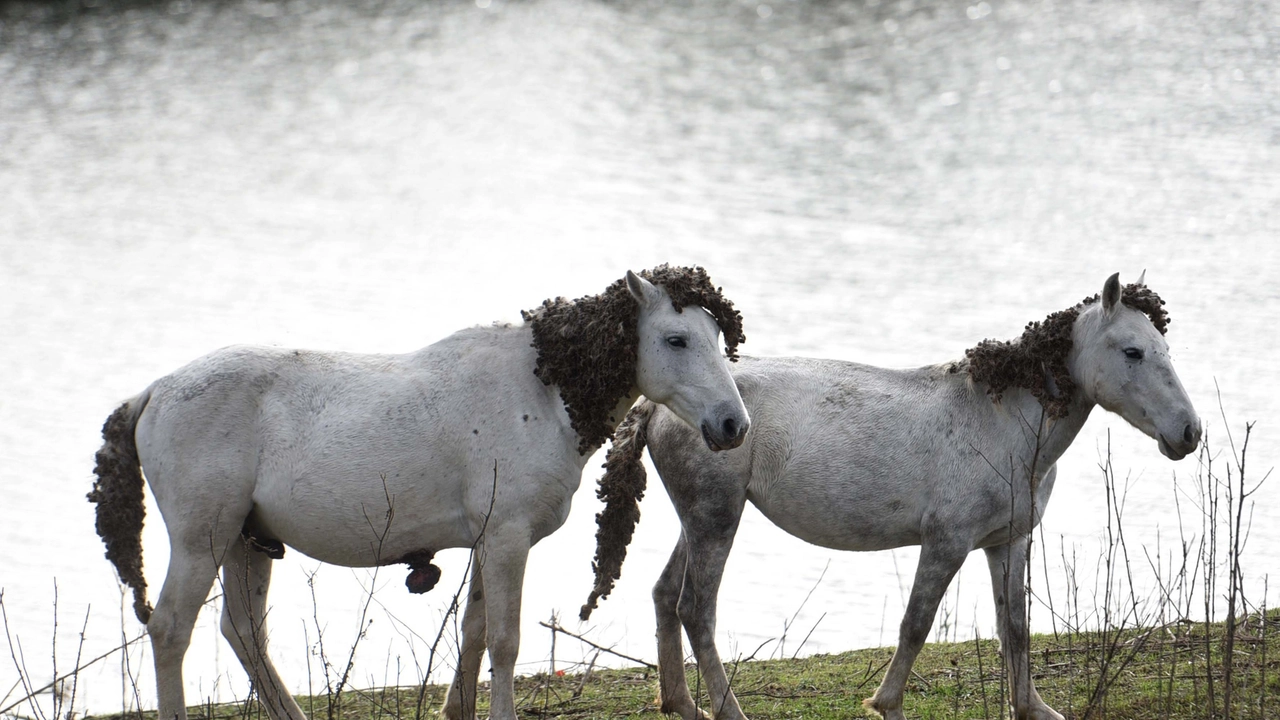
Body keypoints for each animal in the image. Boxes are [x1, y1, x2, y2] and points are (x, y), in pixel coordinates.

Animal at [90, 265, 747, 717]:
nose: (732, 424)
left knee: (244, 633)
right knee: (172, 630)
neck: (541, 390)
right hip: (202, 539)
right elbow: (504, 643)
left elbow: (475, 636)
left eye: (718, 339)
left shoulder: (489, 542)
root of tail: (154, 390)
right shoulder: (507, 539)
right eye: (677, 340)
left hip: (244, 541)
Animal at [581, 270, 1198, 717]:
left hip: (703, 519)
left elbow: (1015, 627)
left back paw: (681, 704)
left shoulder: (1008, 542)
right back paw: (729, 710)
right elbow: (916, 623)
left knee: (666, 596)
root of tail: (657, 404)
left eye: (1165, 347)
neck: (1004, 420)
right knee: (695, 608)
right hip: (716, 519)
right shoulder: (946, 543)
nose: (1189, 432)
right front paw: (887, 704)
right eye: (1133, 351)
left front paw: (1032, 708)